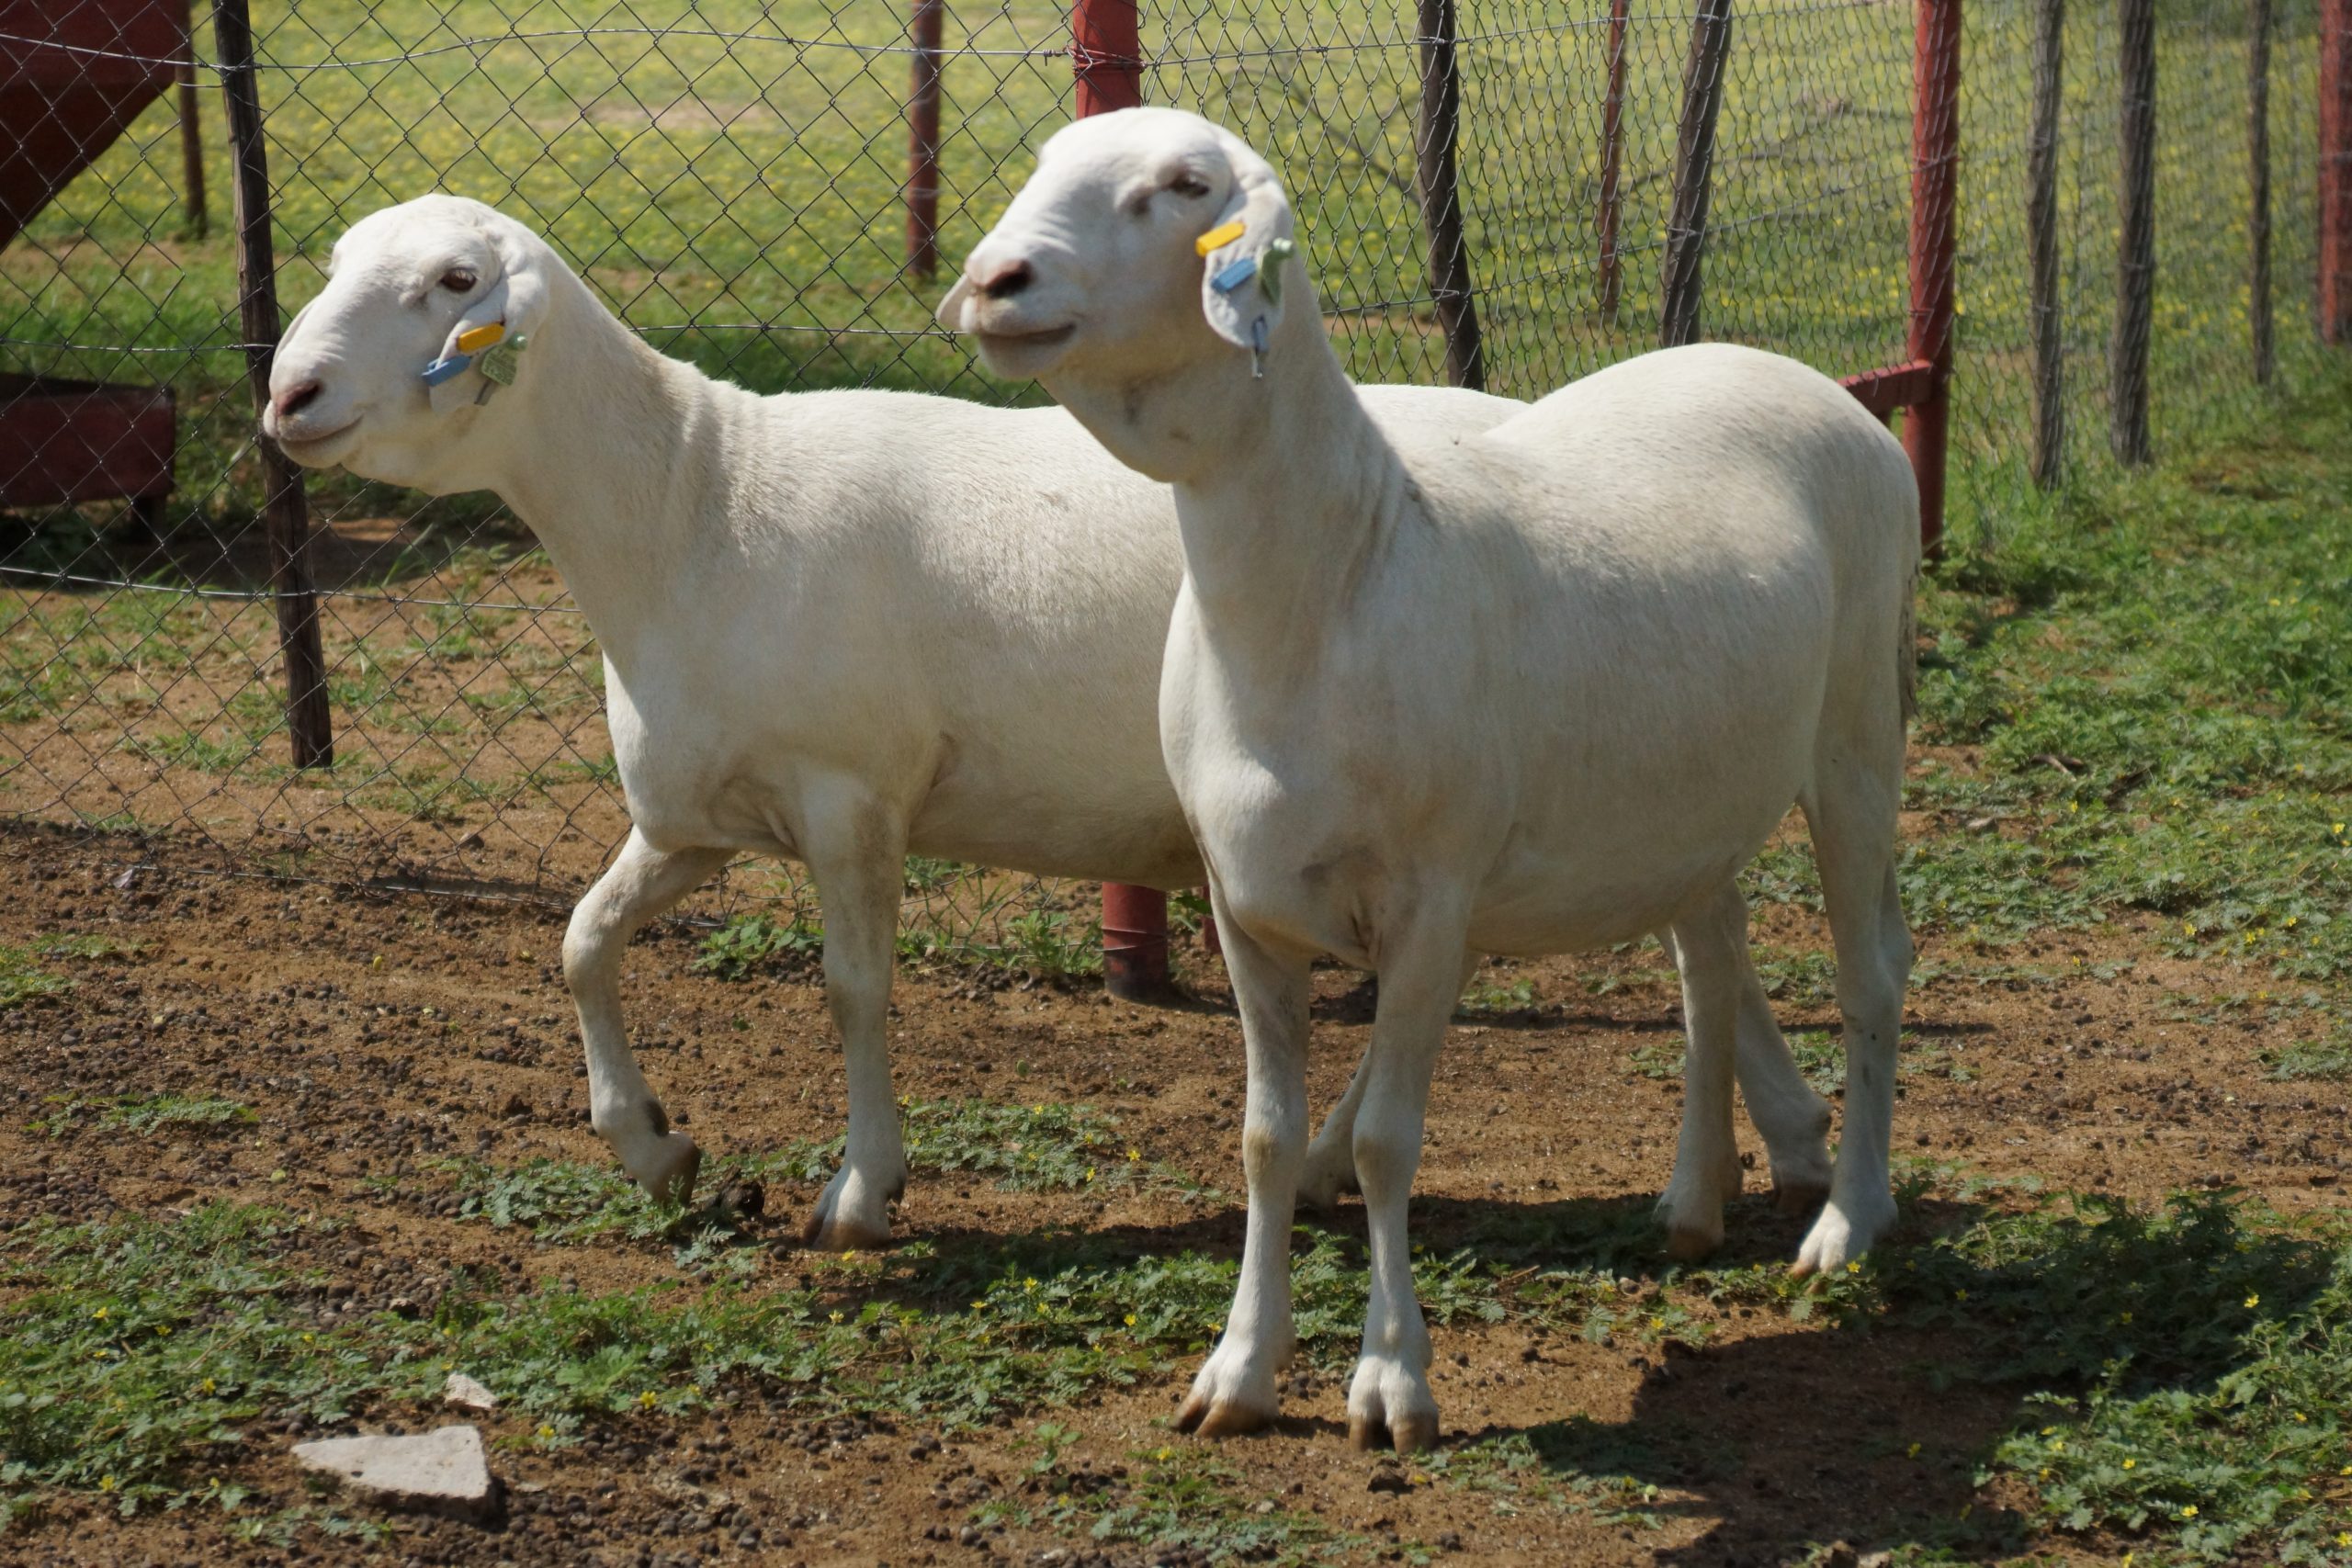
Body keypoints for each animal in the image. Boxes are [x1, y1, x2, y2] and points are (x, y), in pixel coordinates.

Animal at [258, 193, 1575, 1250]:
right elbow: (583, 938)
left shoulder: (850, 793)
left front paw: (860, 1192)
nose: (289, 395)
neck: (691, 506)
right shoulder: (700, 818)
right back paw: (1326, 1159)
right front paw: (655, 1145)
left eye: (456, 282)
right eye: (337, 260)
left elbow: (853, 987)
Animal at [942, 107, 1918, 1452]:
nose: (995, 281)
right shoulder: (1243, 903)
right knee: (1709, 954)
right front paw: (1239, 1371)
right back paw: (1693, 1198)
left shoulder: (1431, 902)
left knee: (1870, 969)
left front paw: (1391, 1380)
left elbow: (1389, 1142)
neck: (1335, 577)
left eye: (1186, 186)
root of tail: (1820, 384)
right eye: (1043, 161)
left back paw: (1849, 1220)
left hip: (1859, 729)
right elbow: (1263, 1139)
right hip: (1685, 786)